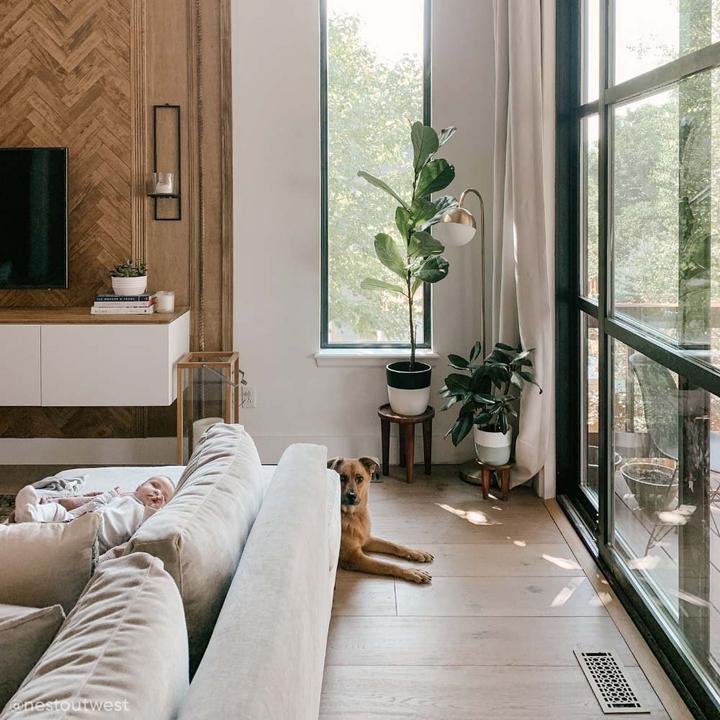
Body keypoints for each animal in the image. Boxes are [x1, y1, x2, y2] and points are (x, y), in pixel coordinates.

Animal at [328, 456, 434, 584]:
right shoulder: (354, 558)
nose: (351, 495)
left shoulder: (367, 539)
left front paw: (415, 552)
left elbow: (394, 545)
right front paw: (410, 571)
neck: (354, 515)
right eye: (342, 478)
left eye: (360, 478)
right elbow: (386, 564)